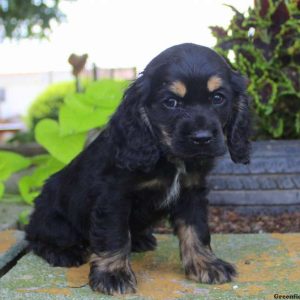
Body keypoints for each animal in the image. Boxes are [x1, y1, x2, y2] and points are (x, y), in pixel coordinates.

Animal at [25, 42, 251, 296]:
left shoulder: (192, 192)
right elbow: (114, 235)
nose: (202, 138)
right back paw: (63, 252)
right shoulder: (114, 197)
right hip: (54, 222)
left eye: (218, 98)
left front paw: (207, 264)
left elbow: (196, 229)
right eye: (171, 102)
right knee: (36, 237)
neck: (169, 158)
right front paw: (113, 275)